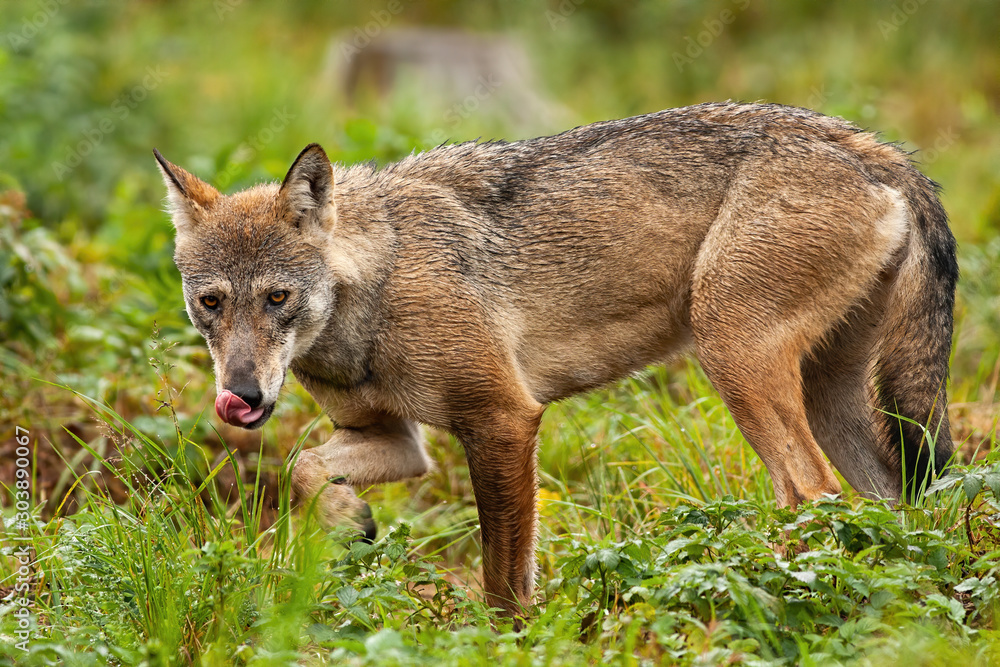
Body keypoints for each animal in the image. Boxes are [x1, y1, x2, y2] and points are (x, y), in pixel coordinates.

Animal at [155, 102, 957, 621]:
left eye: (278, 298)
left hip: (732, 356)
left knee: (812, 493)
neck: (377, 283)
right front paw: (351, 522)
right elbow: (304, 468)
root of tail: (874, 147)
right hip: (830, 399)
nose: (242, 395)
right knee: (886, 505)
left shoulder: (503, 420)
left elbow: (503, 576)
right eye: (211, 303)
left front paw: (504, 642)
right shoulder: (397, 441)